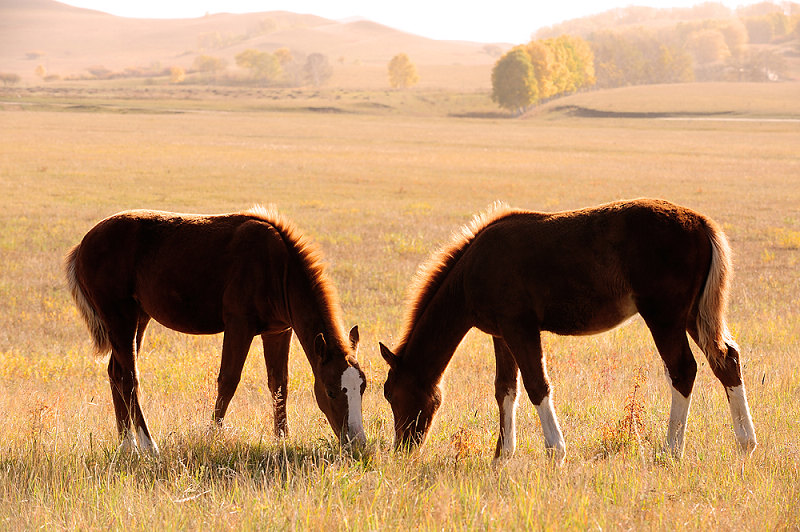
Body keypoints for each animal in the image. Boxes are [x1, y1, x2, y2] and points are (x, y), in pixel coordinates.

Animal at [65, 206, 366, 456]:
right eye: (330, 391)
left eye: (362, 387)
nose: (357, 441)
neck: (277, 267)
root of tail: (83, 245)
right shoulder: (239, 326)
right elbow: (229, 380)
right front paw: (213, 435)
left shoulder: (278, 331)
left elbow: (279, 383)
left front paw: (281, 438)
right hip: (121, 317)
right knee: (129, 377)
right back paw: (147, 446)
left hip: (139, 318)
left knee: (116, 373)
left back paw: (126, 444)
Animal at [382, 197, 756, 464]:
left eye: (394, 395)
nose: (403, 448)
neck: (476, 266)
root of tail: (702, 224)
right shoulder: (501, 333)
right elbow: (505, 389)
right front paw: (503, 455)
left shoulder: (520, 327)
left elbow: (536, 385)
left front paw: (555, 451)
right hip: (692, 316)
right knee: (727, 361)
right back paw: (746, 443)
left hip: (664, 316)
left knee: (683, 370)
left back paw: (671, 450)